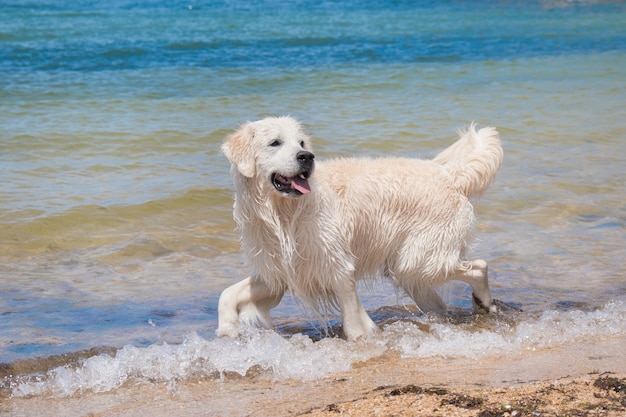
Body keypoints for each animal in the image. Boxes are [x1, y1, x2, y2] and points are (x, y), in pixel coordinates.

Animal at [214, 115, 502, 340]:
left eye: (301, 143)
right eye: (275, 142)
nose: (307, 157)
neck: (285, 213)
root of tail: (451, 175)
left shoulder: (337, 266)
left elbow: (352, 321)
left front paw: (360, 339)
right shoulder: (279, 270)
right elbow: (227, 294)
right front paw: (227, 330)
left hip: (416, 260)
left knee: (479, 266)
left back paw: (485, 302)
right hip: (409, 268)